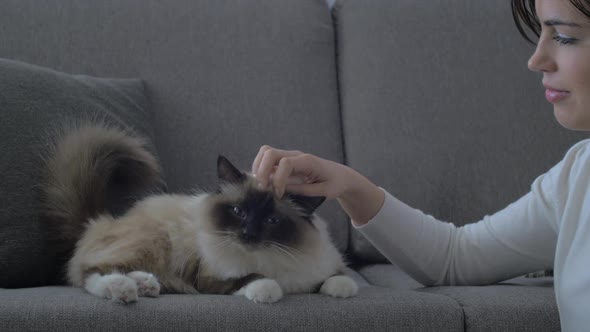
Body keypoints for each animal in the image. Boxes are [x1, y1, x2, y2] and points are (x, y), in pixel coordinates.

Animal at [41, 122, 358, 304]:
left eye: (271, 220)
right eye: (238, 211)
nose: (247, 234)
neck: (271, 256)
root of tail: (98, 222)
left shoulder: (315, 268)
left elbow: (335, 276)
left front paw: (340, 288)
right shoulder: (209, 278)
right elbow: (255, 278)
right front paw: (267, 291)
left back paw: (146, 285)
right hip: (155, 240)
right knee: (90, 273)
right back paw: (124, 291)